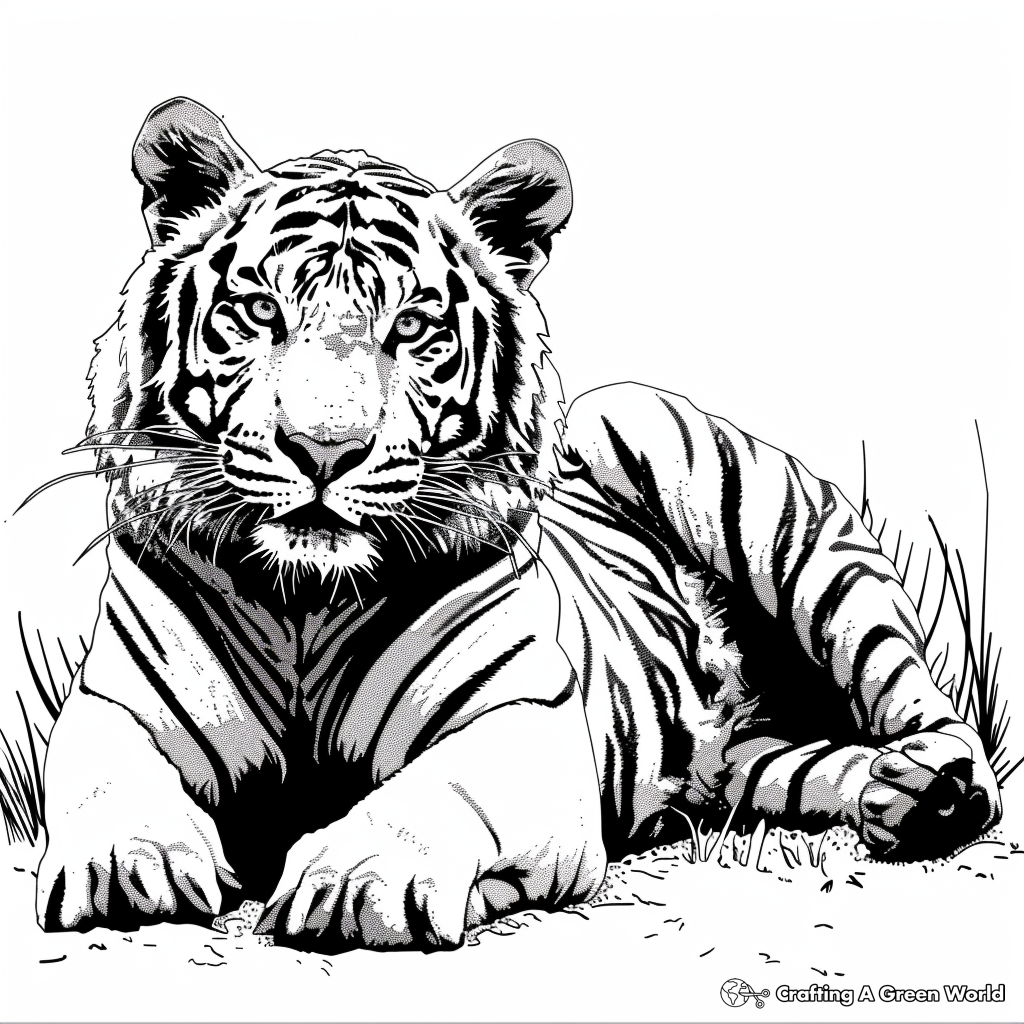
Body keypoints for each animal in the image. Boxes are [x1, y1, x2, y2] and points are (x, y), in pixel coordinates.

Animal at [35, 97, 1000, 952]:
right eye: (260, 311)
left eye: (412, 328)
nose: (324, 448)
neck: (305, 602)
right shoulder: (116, 705)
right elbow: (105, 781)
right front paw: (125, 860)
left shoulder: (520, 720)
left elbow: (436, 793)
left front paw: (361, 874)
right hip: (745, 758)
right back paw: (879, 788)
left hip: (722, 483)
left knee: (927, 704)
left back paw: (935, 787)